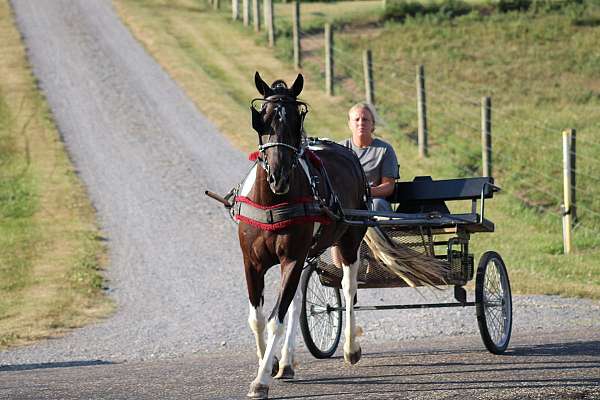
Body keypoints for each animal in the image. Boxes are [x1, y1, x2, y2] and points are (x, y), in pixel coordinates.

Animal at [236, 72, 368, 396]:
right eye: (263, 118)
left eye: (297, 120)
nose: (279, 176)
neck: (272, 201)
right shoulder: (251, 262)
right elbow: (258, 318)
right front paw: (269, 363)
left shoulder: (292, 259)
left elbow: (277, 319)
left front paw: (261, 380)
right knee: (297, 303)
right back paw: (286, 363)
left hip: (350, 239)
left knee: (348, 287)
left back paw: (350, 348)